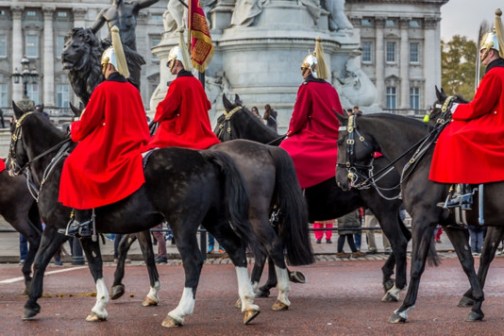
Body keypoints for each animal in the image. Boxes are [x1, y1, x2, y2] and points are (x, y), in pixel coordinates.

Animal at [9, 103, 262, 326]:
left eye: (11, 127)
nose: (11, 166)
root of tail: (204, 156)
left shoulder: (57, 227)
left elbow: (41, 261)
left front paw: (31, 304)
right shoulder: (87, 231)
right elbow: (96, 264)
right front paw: (101, 306)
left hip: (182, 224)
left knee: (193, 261)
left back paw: (179, 313)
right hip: (213, 219)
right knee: (236, 248)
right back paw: (248, 304)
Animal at [215, 94, 412, 302]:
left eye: (220, 121)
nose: (211, 147)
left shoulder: (271, 215)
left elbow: (272, 250)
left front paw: (270, 283)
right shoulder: (274, 217)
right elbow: (274, 250)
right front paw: (275, 282)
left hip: (382, 208)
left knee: (399, 242)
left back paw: (395, 287)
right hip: (389, 209)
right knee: (406, 237)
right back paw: (387, 277)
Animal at [336, 101, 486, 322]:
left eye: (340, 142)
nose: (340, 180)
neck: (424, 159)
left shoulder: (422, 220)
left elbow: (417, 262)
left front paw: (404, 307)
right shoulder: (449, 223)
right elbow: (466, 260)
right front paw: (476, 304)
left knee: (399, 241)